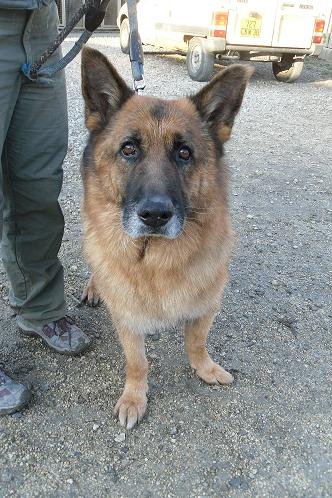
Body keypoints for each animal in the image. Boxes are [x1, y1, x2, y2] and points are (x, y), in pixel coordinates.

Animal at [80, 47, 252, 428]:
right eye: (129, 149)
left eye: (184, 153)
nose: (155, 216)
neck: (155, 259)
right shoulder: (127, 319)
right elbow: (137, 362)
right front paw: (135, 398)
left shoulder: (206, 307)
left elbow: (196, 342)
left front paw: (205, 369)